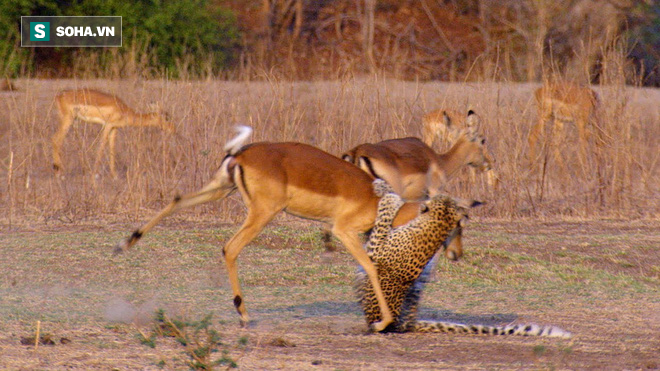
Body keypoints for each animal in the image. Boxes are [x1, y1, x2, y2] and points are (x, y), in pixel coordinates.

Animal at [356, 180, 572, 340]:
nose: (429, 191)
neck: (435, 226)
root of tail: (405, 324)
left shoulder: (375, 248)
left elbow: (384, 214)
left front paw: (386, 192)